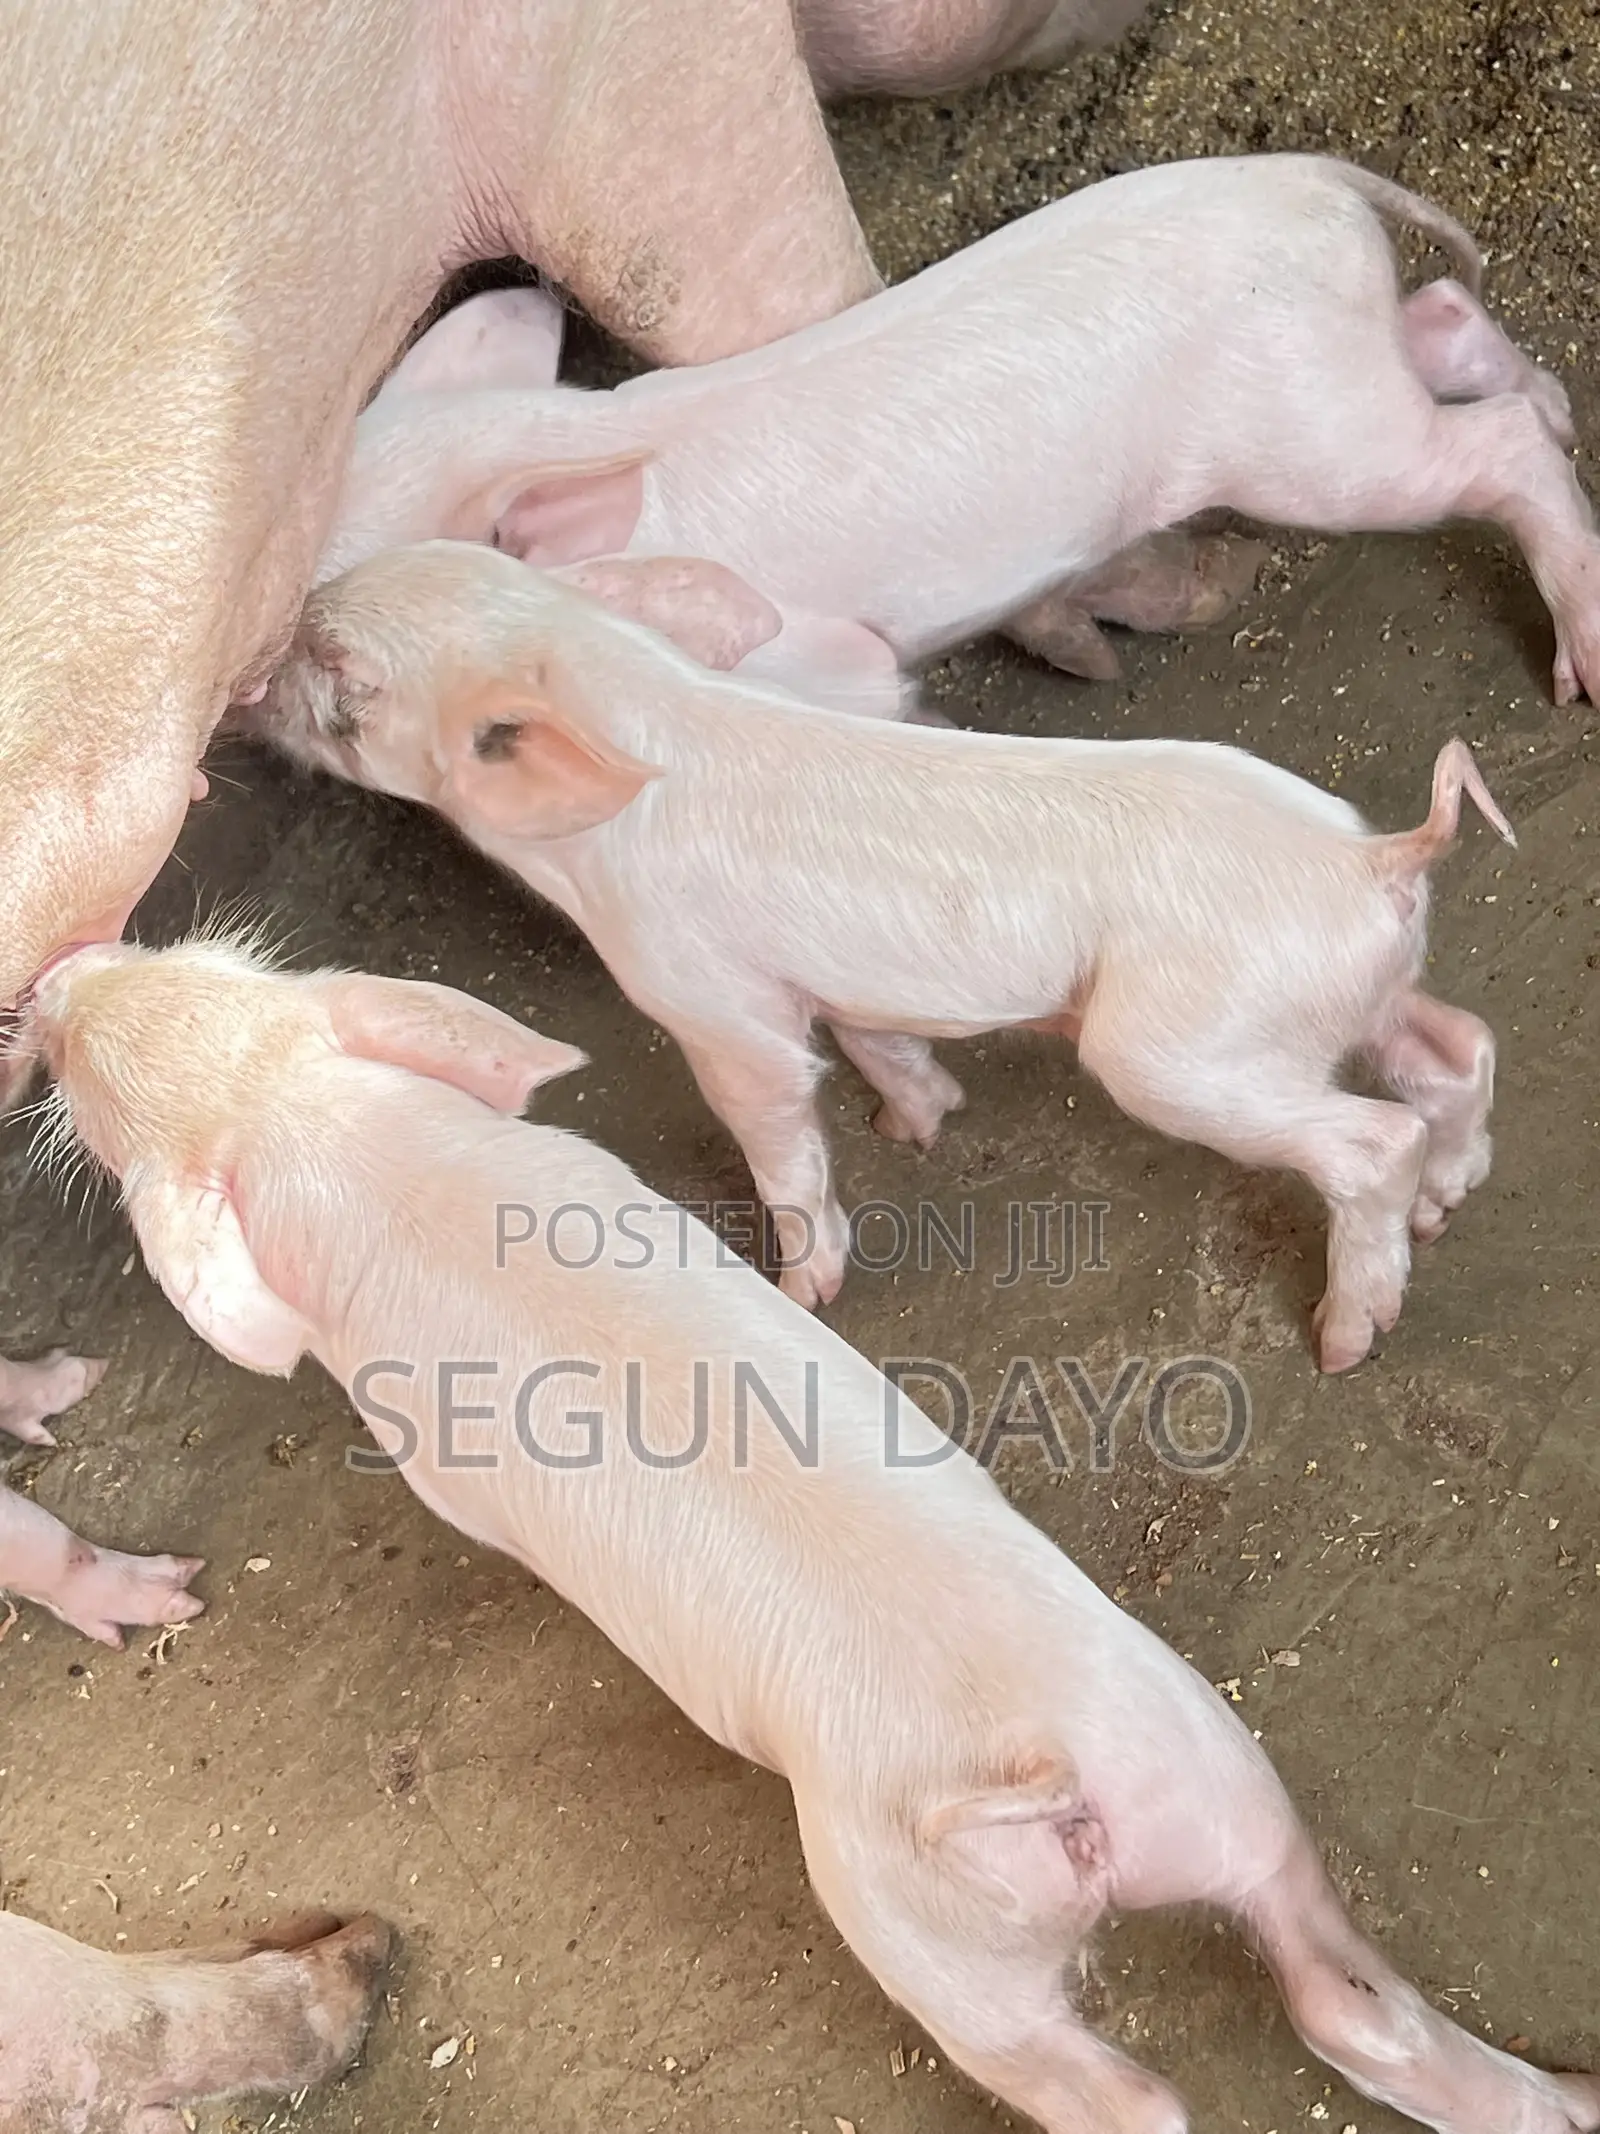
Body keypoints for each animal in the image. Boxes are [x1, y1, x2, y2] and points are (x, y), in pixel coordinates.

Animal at [269, 544, 1511, 1373]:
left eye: (342, 680)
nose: (261, 659)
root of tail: (1376, 857)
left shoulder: (710, 996)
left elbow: (773, 1118)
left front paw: (804, 1287)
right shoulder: (830, 977)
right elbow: (876, 1040)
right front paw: (914, 1122)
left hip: (1181, 1047)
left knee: (1374, 1136)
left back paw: (1346, 1339)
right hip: (1350, 996)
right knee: (1456, 1047)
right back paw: (1449, 1205)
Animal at [309, 155, 1591, 716]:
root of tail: (1312, 174)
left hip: (1310, 436)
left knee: (1491, 450)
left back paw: (1576, 671)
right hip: (1345, 369)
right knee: (1453, 324)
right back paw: (1560, 406)